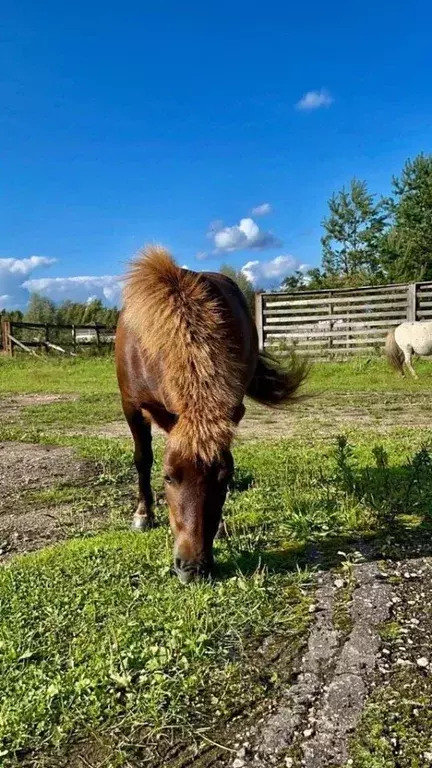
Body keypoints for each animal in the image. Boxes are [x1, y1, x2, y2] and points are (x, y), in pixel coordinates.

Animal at [115, 246, 308, 584]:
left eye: (225, 476)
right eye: (168, 476)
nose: (193, 568)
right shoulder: (132, 407)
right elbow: (142, 459)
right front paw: (143, 514)